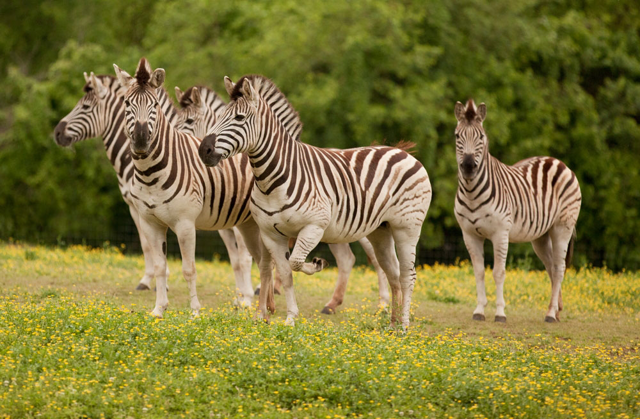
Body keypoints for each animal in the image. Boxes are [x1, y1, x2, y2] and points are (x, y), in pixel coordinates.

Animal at [53, 71, 256, 308]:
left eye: (84, 107)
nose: (57, 133)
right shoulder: (136, 207)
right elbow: (146, 243)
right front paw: (150, 281)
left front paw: (160, 284)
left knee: (245, 254)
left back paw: (249, 296)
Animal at [112, 58, 275, 318]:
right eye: (127, 103)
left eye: (154, 105)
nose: (140, 140)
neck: (150, 173)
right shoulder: (149, 223)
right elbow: (159, 267)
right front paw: (158, 309)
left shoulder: (185, 224)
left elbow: (189, 269)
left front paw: (195, 313)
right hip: (248, 224)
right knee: (264, 261)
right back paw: (267, 306)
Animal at [175, 84, 391, 314]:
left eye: (189, 121)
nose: (202, 151)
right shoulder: (231, 227)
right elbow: (241, 261)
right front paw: (248, 298)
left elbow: (246, 260)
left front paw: (249, 299)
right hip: (337, 230)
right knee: (347, 259)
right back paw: (332, 304)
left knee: (375, 258)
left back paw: (383, 303)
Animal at [198, 75, 432, 328]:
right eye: (220, 116)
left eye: (239, 118)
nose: (203, 150)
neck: (272, 179)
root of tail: (400, 151)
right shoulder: (271, 234)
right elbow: (285, 272)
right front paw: (290, 318)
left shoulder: (314, 226)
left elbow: (295, 263)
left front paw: (317, 264)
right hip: (380, 230)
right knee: (393, 272)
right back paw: (392, 324)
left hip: (406, 227)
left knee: (407, 275)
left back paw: (403, 327)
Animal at [453, 99, 581, 323]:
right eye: (457, 136)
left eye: (481, 137)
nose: (468, 166)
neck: (471, 193)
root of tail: (556, 160)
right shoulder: (469, 234)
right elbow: (479, 272)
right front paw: (479, 311)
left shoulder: (500, 233)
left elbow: (499, 272)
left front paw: (500, 313)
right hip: (540, 236)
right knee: (550, 267)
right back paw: (556, 310)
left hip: (562, 227)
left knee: (559, 269)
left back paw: (550, 314)